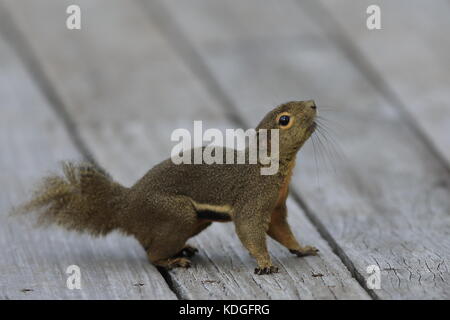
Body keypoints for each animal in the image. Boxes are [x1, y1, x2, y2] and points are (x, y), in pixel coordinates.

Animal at [17, 100, 320, 276]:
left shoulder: (277, 206)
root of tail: (127, 207)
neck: (274, 165)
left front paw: (302, 248)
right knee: (151, 255)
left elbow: (281, 231)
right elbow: (250, 229)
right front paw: (265, 263)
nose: (313, 103)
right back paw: (172, 261)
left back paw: (182, 249)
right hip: (176, 213)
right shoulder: (253, 198)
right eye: (284, 119)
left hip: (196, 220)